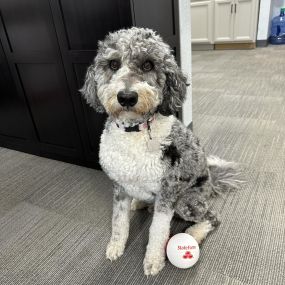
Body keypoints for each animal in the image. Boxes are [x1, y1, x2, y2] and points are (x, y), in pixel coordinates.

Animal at [80, 27, 242, 276]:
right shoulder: (119, 186)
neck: (134, 132)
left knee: (213, 218)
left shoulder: (167, 192)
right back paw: (139, 203)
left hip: (186, 201)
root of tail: (211, 183)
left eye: (148, 65)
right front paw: (116, 246)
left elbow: (157, 230)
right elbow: (118, 221)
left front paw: (153, 261)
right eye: (113, 64)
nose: (126, 97)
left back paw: (194, 233)